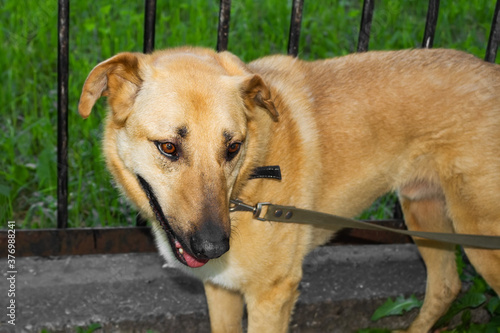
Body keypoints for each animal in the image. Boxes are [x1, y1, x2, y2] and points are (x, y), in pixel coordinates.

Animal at [79, 47, 500, 332]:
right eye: (168, 147)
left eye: (232, 147)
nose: (215, 247)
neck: (248, 187)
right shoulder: (222, 290)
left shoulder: (273, 297)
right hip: (423, 212)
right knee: (446, 285)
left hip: (479, 237)